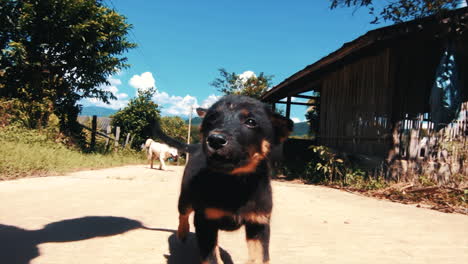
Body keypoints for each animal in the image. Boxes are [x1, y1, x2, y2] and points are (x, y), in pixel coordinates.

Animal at [154, 95, 292, 264]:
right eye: (212, 118)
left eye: (251, 121)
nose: (214, 139)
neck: (234, 182)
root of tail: (196, 147)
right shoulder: (205, 221)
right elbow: (211, 257)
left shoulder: (259, 223)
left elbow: (260, 257)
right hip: (186, 195)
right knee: (183, 213)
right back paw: (182, 232)